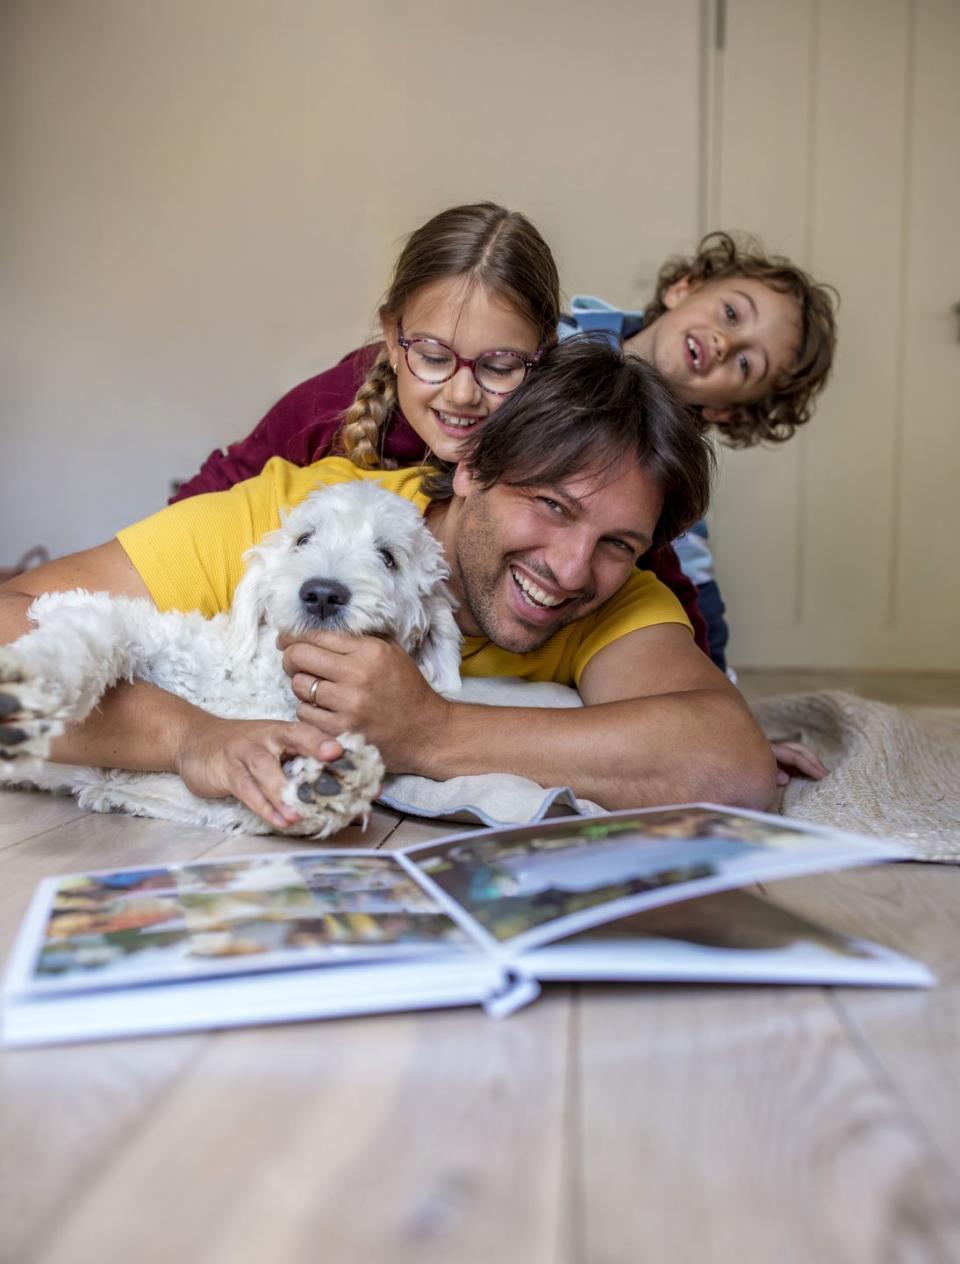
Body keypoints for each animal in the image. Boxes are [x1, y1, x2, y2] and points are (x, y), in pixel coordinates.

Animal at [0, 482, 462, 839]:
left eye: (388, 557)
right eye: (303, 539)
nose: (322, 594)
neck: (273, 682)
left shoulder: (128, 783)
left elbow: (239, 804)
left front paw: (326, 788)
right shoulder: (138, 629)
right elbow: (91, 630)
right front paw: (30, 688)